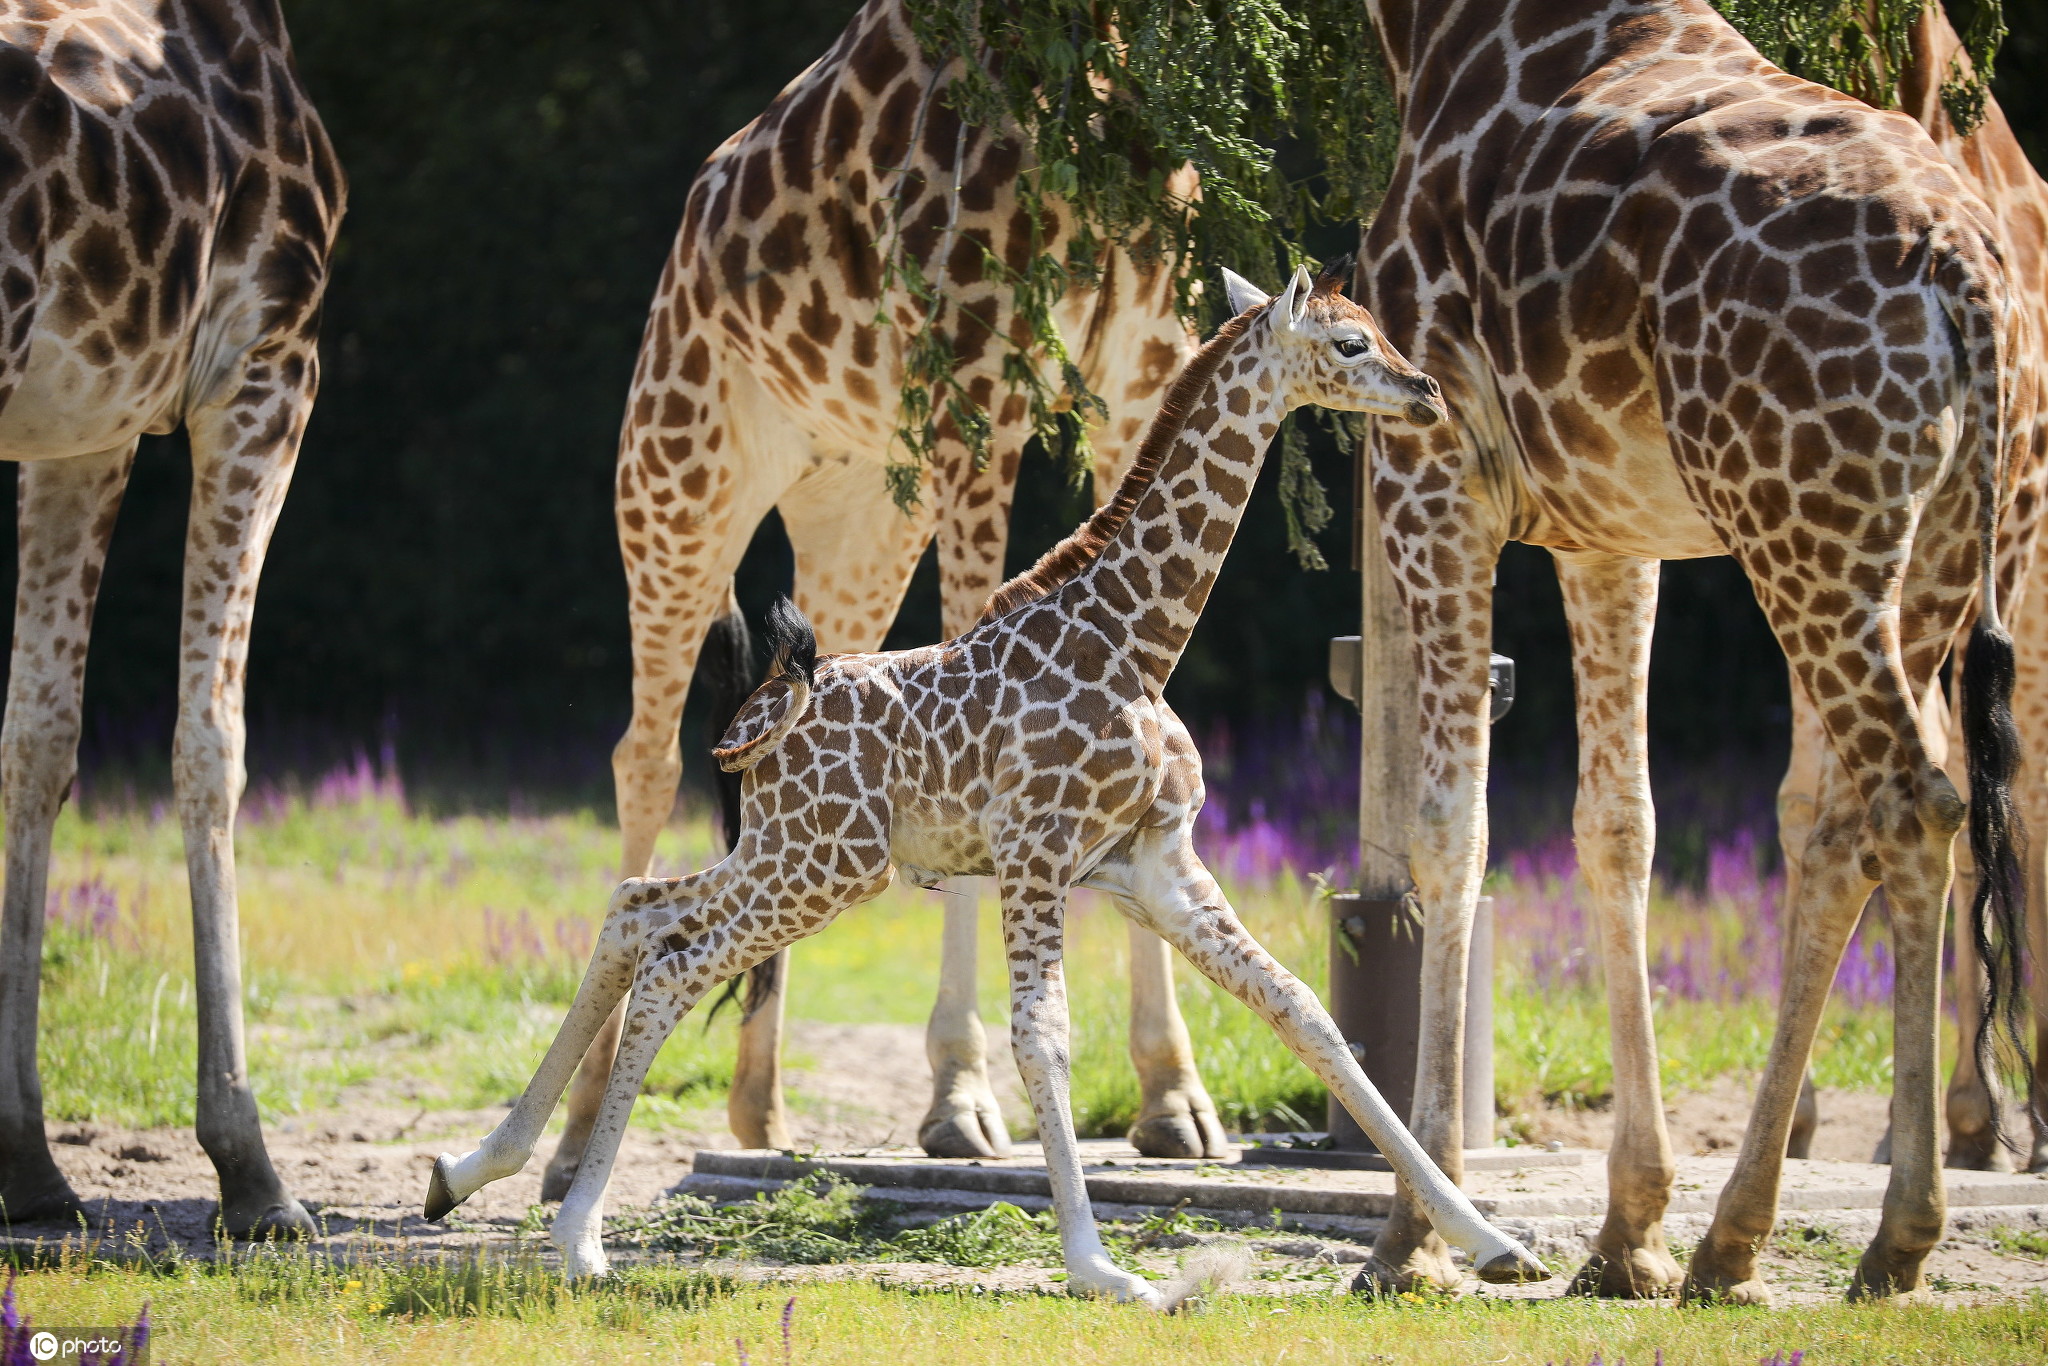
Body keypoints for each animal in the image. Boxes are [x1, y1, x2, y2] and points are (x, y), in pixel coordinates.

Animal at [0, 2, 344, 1236]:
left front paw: (31, 1166)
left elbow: (38, 738)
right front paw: (253, 1171)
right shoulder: (264, 366)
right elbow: (213, 740)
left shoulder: (80, 427)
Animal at [436, 264, 1548, 1302]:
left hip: (797, 854)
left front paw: (1492, 1243)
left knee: (637, 909)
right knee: (673, 962)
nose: (1424, 394)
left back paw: (470, 1171)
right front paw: (1099, 1267)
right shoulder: (1036, 857)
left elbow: (1305, 1012)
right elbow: (1043, 1039)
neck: (1136, 639)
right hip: (821, 867)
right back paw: (576, 1237)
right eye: (1351, 342)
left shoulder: (1154, 864)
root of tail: (767, 714)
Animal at [536, 0, 1220, 1196]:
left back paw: (757, 1108)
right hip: (677, 471)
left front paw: (1172, 1097)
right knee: (645, 757)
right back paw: (575, 1140)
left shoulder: (1141, 368)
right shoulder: (976, 393)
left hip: (857, 505)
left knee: (782, 723)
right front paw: (958, 1100)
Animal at [1351, 0, 2023, 1302]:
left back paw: (1896, 1231)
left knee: (1909, 801)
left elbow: (1447, 830)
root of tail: (1965, 278)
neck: (1433, 36)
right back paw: (1733, 1237)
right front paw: (1629, 1231)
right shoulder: (1607, 524)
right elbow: (1616, 826)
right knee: (1860, 820)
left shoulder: (1429, 462)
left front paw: (1415, 1232)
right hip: (1932, 553)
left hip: (1804, 526)